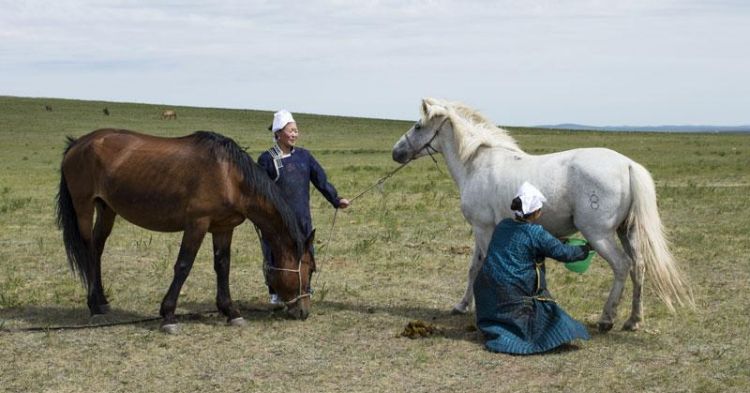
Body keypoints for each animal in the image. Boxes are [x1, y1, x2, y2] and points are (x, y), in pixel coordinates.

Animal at [57, 129, 316, 330]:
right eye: (310, 270)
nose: (304, 312)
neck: (229, 176)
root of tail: (76, 144)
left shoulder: (223, 228)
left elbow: (223, 266)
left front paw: (231, 311)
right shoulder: (196, 224)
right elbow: (183, 265)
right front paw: (168, 315)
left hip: (107, 208)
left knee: (97, 249)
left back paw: (102, 302)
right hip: (83, 207)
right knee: (88, 250)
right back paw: (93, 305)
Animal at [390, 98, 696, 330]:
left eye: (418, 126)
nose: (396, 152)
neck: (476, 164)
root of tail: (628, 165)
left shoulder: (483, 228)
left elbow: (481, 267)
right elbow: (475, 268)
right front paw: (463, 305)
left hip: (599, 235)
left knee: (622, 266)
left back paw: (606, 319)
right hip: (626, 232)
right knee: (639, 268)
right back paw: (633, 320)